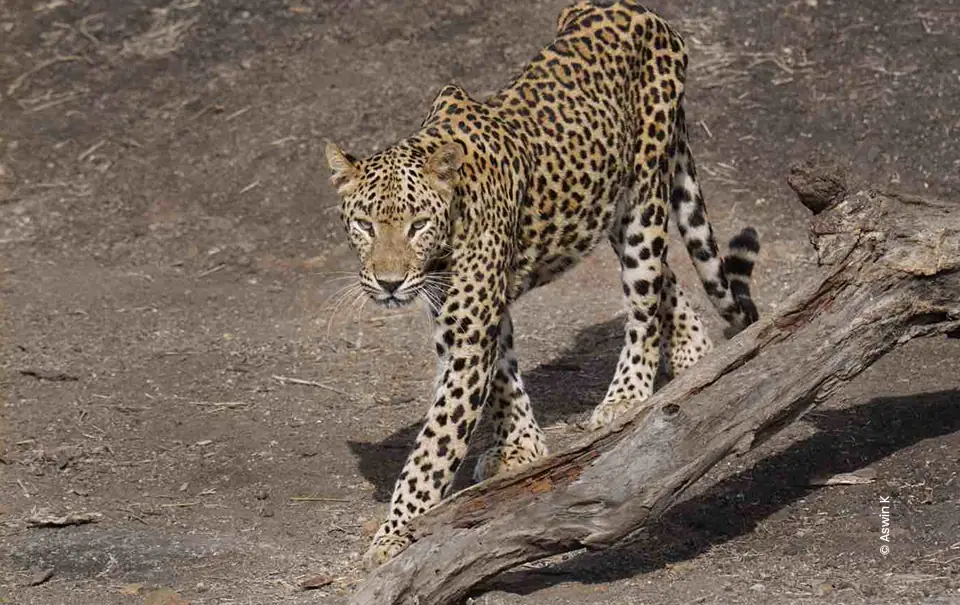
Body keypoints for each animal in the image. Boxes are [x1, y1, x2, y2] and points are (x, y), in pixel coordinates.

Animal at [324, 0, 760, 568]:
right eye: (364, 225)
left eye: (418, 224)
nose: (390, 282)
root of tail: (643, 12)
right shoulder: (466, 318)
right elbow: (505, 373)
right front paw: (522, 448)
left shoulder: (468, 334)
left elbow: (434, 445)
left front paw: (393, 536)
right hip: (608, 203)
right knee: (668, 276)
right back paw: (693, 353)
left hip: (643, 200)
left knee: (645, 297)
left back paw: (628, 395)